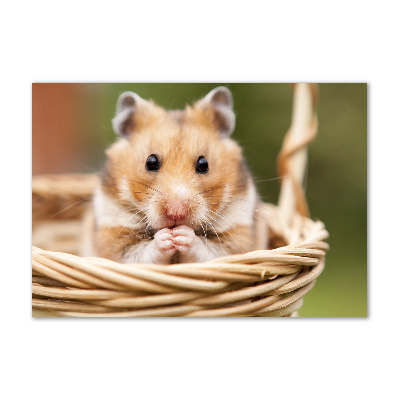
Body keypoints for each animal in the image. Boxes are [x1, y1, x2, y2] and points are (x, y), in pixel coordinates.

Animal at [83, 86, 268, 264]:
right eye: (150, 162)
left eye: (204, 164)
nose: (176, 213)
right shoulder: (113, 234)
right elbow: (140, 253)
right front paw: (166, 238)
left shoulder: (237, 235)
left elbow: (210, 251)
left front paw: (182, 235)